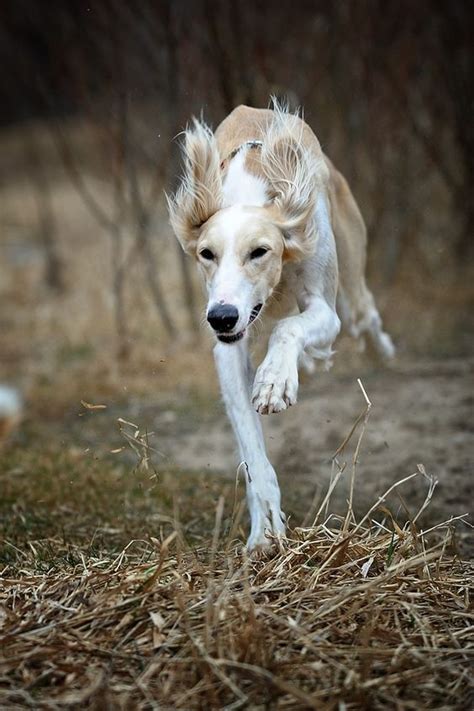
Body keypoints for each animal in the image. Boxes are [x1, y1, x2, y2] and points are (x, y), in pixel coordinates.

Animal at [168, 103, 394, 552]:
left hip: (351, 283)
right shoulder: (229, 346)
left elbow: (288, 328)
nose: (221, 317)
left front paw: (274, 381)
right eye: (207, 253)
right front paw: (264, 533)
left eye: (260, 251)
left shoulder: (324, 309)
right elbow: (253, 453)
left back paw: (383, 353)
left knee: (365, 317)